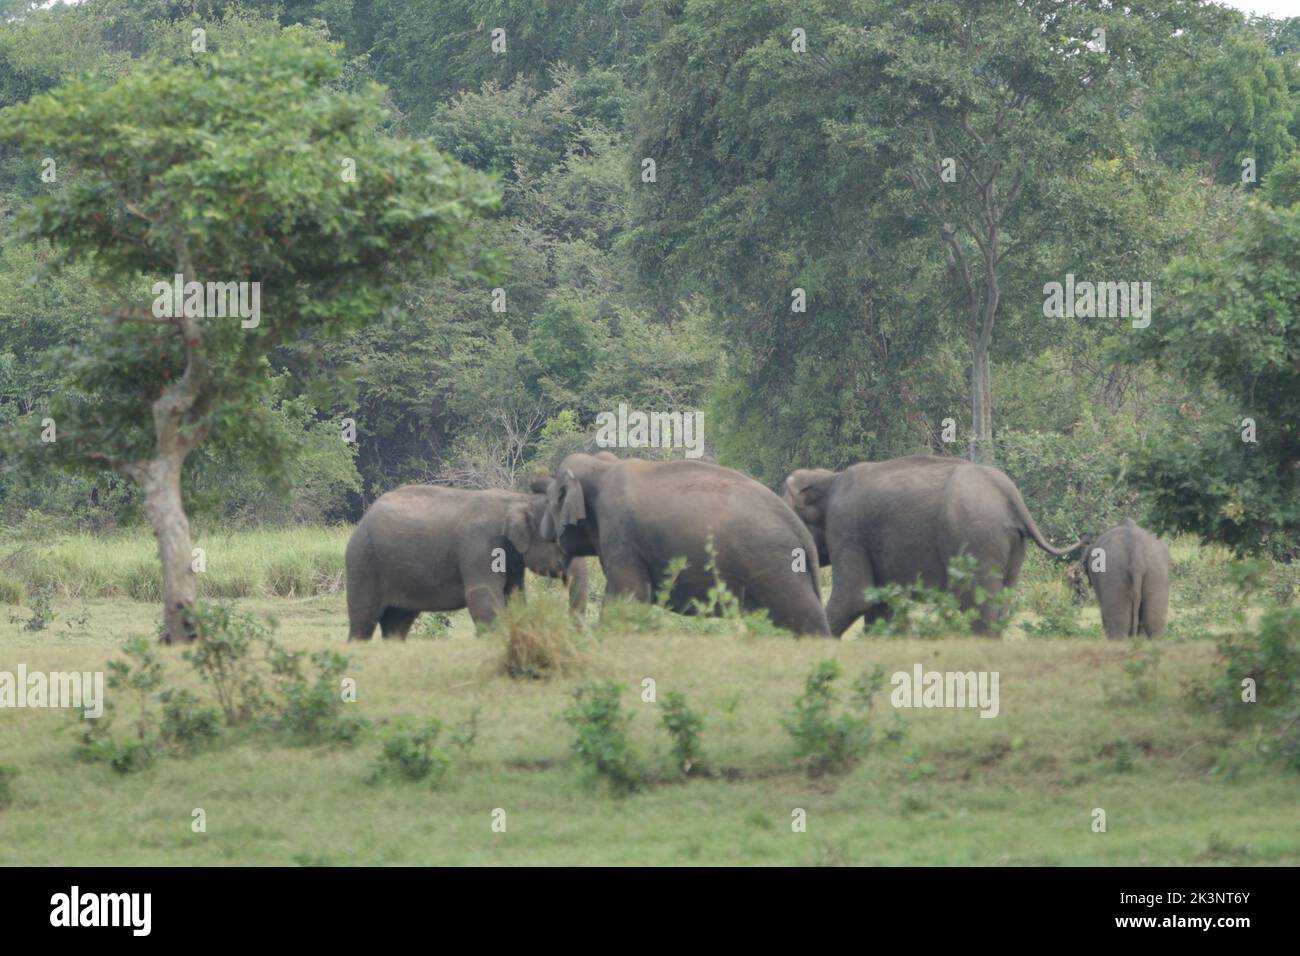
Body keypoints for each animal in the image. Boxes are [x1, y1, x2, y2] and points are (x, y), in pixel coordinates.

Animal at [345, 484, 588, 640]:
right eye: (560, 538)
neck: (518, 499)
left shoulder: (512, 558)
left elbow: (516, 597)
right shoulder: (479, 545)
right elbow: (483, 598)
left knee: (397, 623)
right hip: (363, 562)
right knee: (363, 621)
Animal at [538, 453, 831, 636]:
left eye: (552, 501)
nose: (545, 530)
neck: (600, 466)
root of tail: (800, 531)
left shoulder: (620, 534)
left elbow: (630, 597)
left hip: (777, 569)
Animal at [782, 455, 1080, 636]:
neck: (829, 478)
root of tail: (1010, 495)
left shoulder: (846, 526)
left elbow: (855, 596)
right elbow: (881, 604)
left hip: (978, 540)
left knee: (979, 603)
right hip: (1013, 546)